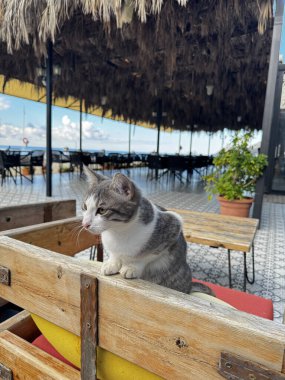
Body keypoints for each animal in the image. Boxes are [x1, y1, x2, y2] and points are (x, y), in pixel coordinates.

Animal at [81, 167, 213, 296]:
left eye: (102, 210)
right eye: (85, 207)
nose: (85, 224)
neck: (119, 230)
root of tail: (189, 287)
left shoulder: (174, 224)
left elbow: (147, 256)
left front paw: (132, 267)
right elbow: (114, 254)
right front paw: (112, 263)